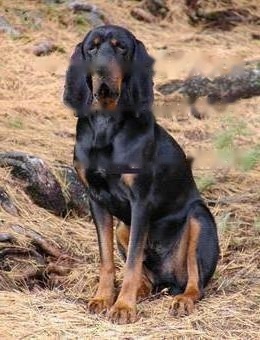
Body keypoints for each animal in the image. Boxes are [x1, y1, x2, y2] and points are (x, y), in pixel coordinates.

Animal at [63, 24, 219, 324]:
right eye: (92, 47)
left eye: (121, 47)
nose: (101, 70)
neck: (106, 124)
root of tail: (169, 278)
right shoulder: (96, 200)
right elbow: (107, 260)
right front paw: (103, 299)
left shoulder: (140, 202)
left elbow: (133, 262)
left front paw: (123, 307)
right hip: (123, 227)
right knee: (146, 276)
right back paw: (142, 290)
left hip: (199, 217)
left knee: (195, 282)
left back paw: (182, 300)